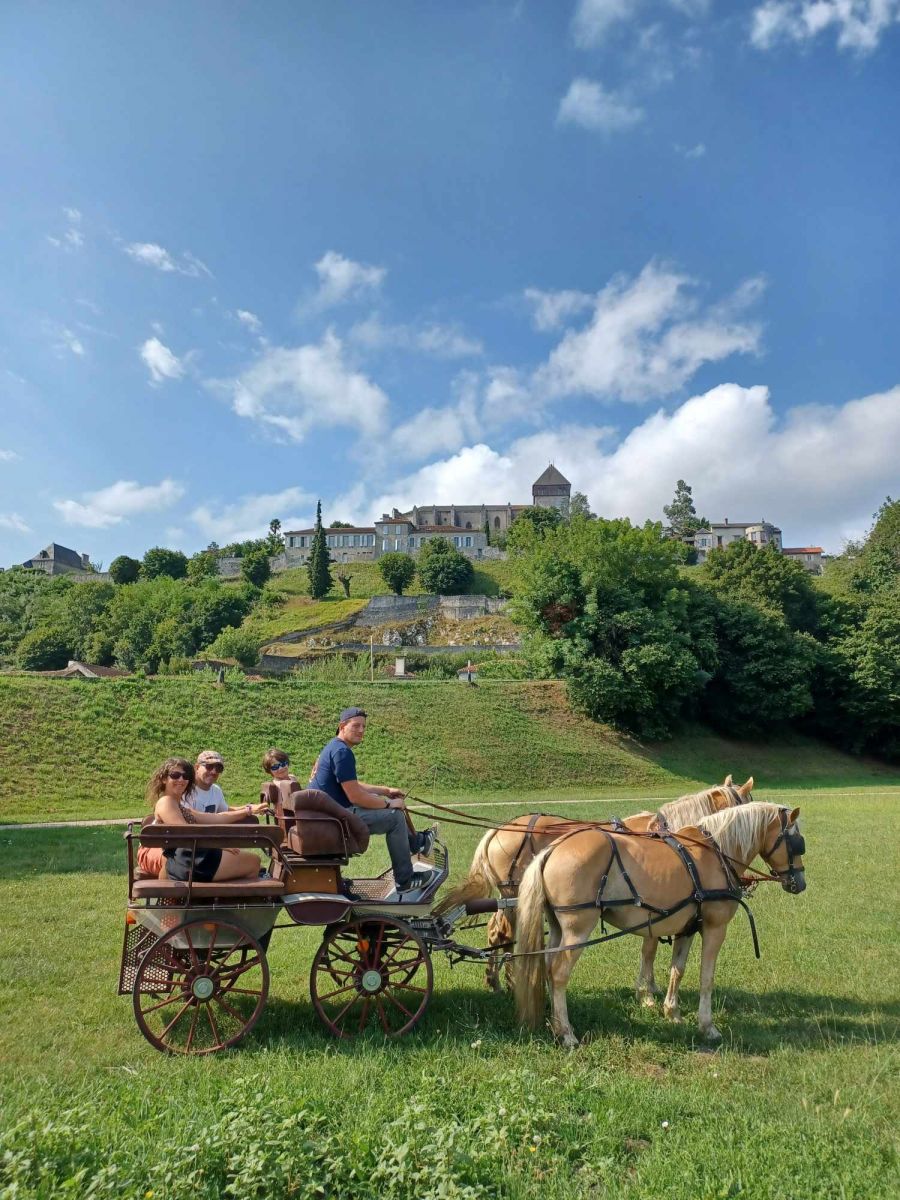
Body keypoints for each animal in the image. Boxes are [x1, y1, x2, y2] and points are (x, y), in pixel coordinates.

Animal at [436, 772, 753, 988]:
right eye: (748, 802)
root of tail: (498, 829)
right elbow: (649, 946)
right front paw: (648, 991)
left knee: (498, 933)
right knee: (502, 934)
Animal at [518, 801, 806, 1046]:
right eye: (797, 843)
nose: (800, 883)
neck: (718, 853)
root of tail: (552, 849)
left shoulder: (688, 928)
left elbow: (677, 970)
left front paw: (672, 1012)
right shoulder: (714, 928)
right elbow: (706, 977)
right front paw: (707, 1026)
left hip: (558, 928)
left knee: (547, 967)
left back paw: (555, 1024)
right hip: (577, 930)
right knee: (559, 974)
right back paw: (566, 1033)